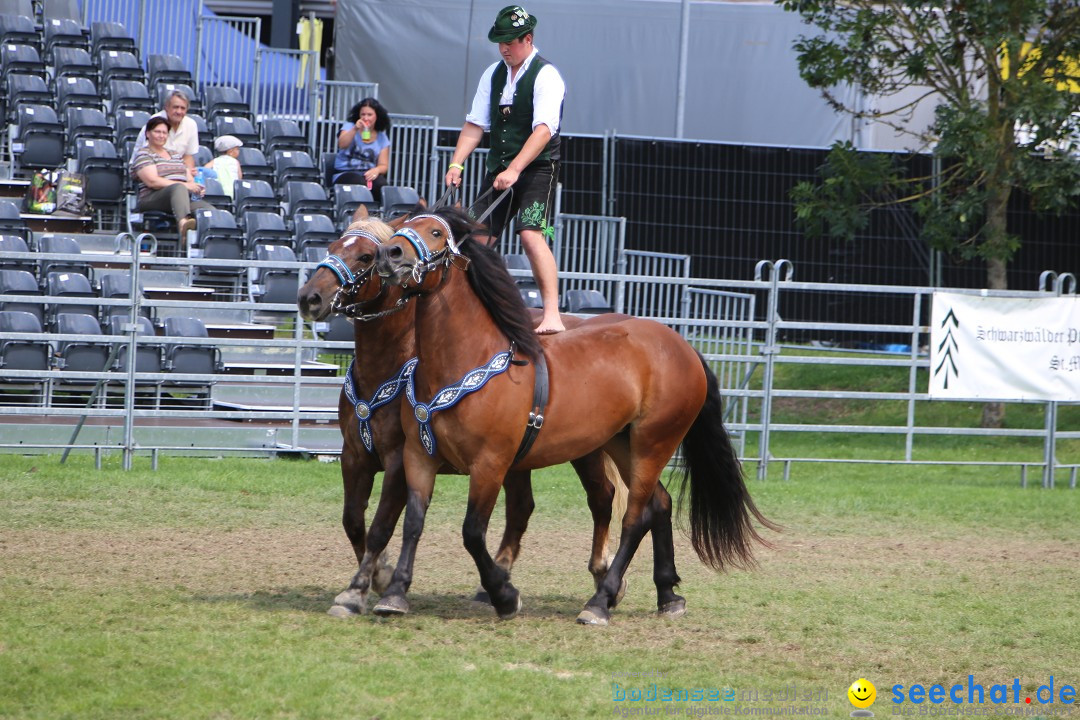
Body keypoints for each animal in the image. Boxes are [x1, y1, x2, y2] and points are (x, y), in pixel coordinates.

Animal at [300, 216, 630, 617]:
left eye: (365, 256)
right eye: (331, 247)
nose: (309, 298)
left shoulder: (398, 462)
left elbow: (381, 525)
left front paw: (365, 586)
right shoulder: (355, 457)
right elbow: (353, 521)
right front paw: (377, 578)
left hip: (586, 451)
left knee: (602, 497)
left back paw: (602, 580)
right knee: (522, 507)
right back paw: (500, 581)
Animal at [373, 208, 777, 626]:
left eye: (435, 232)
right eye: (403, 225)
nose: (390, 253)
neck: (464, 363)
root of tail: (682, 347)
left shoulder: (490, 464)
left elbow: (472, 532)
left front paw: (504, 594)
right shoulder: (420, 457)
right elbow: (413, 522)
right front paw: (395, 592)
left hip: (655, 442)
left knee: (635, 517)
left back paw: (600, 601)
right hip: (621, 443)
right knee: (659, 504)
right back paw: (667, 594)